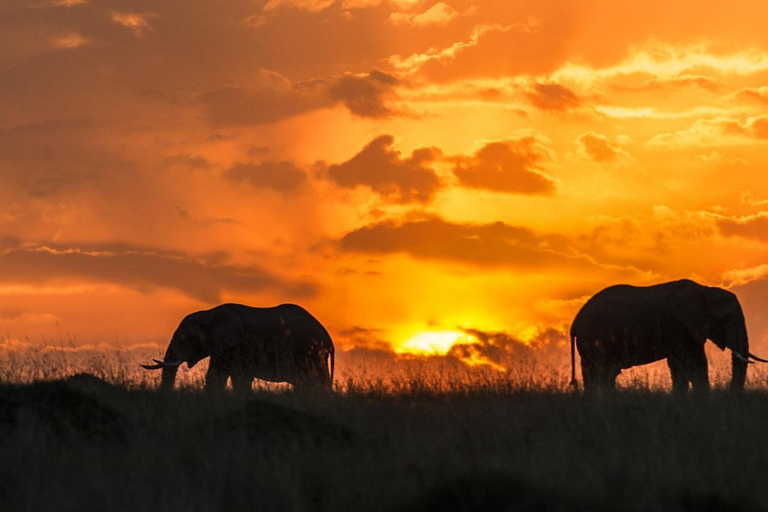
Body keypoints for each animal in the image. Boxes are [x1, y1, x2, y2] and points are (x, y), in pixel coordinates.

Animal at [142, 304, 334, 392]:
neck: (209, 314)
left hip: (310, 354)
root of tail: (329, 339)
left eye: (183, 339)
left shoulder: (231, 344)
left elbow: (218, 375)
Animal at [568, 280, 764, 392]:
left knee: (603, 373)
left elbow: (694, 362)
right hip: (592, 339)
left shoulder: (690, 328)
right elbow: (688, 363)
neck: (704, 290)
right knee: (599, 371)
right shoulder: (676, 325)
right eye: (726, 319)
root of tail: (574, 323)